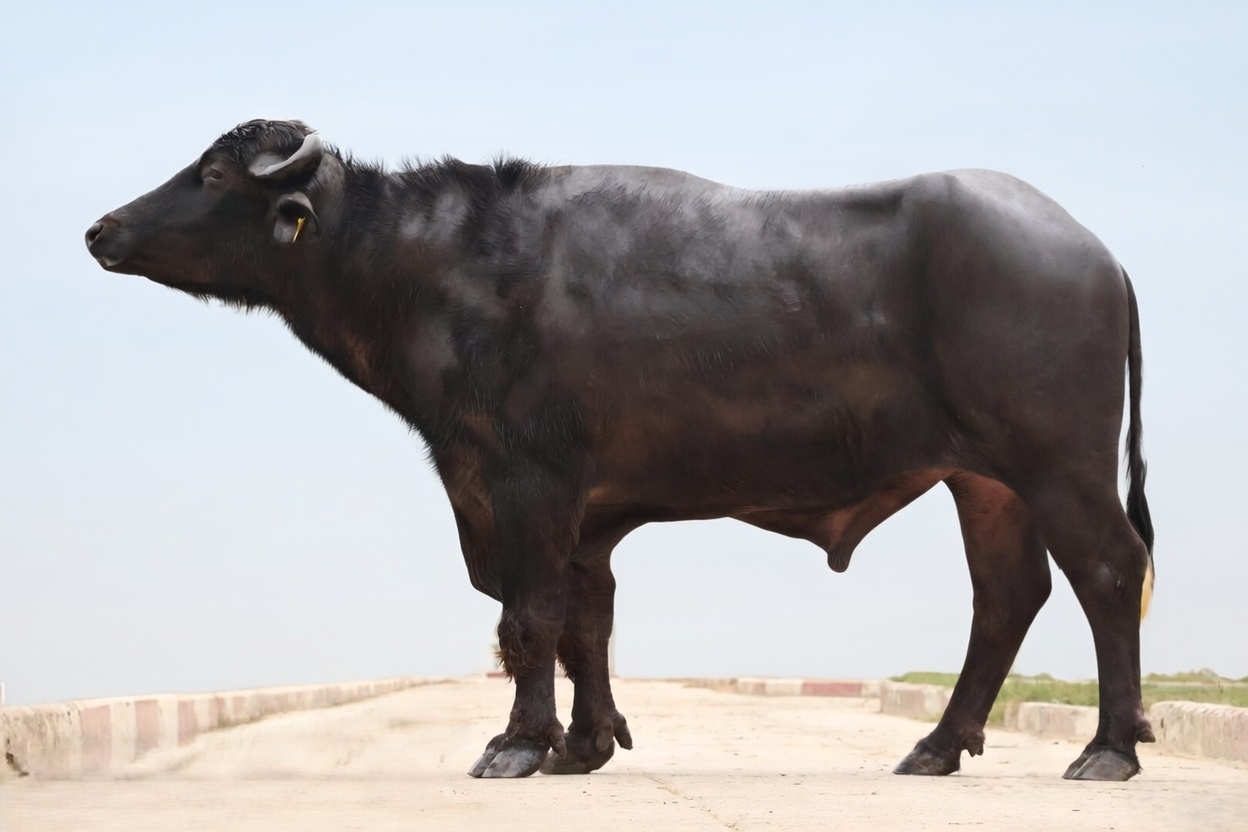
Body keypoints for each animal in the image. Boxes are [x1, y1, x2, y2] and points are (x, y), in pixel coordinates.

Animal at [86, 119, 1155, 781]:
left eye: (212, 175)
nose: (102, 228)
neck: (439, 268)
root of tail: (1095, 253)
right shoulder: (580, 513)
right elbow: (584, 623)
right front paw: (586, 743)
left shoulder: (522, 483)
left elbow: (528, 618)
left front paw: (518, 746)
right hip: (985, 482)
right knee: (1007, 596)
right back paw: (936, 746)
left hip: (1058, 463)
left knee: (1108, 572)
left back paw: (1109, 749)